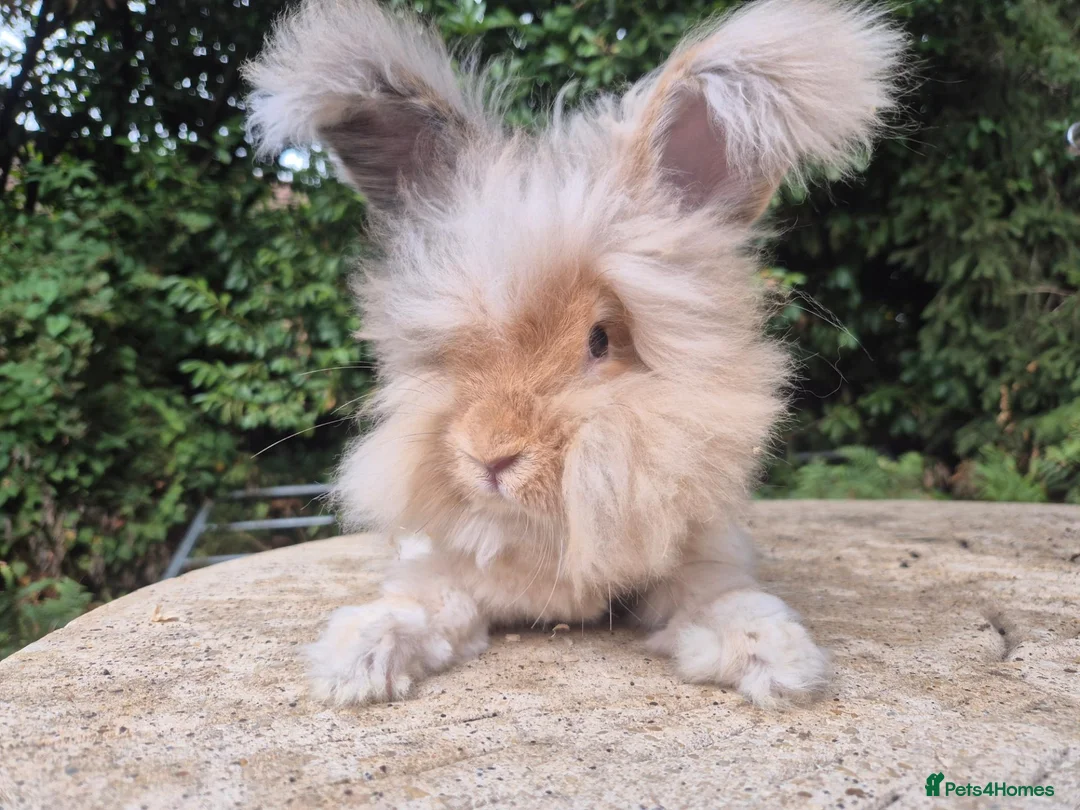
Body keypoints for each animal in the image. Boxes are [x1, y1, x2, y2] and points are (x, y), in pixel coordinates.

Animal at [244, 0, 904, 708]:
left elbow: (717, 598)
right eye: (451, 346)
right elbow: (424, 606)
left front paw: (776, 658)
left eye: (600, 340)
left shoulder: (698, 559)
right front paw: (356, 660)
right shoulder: (445, 570)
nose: (491, 457)